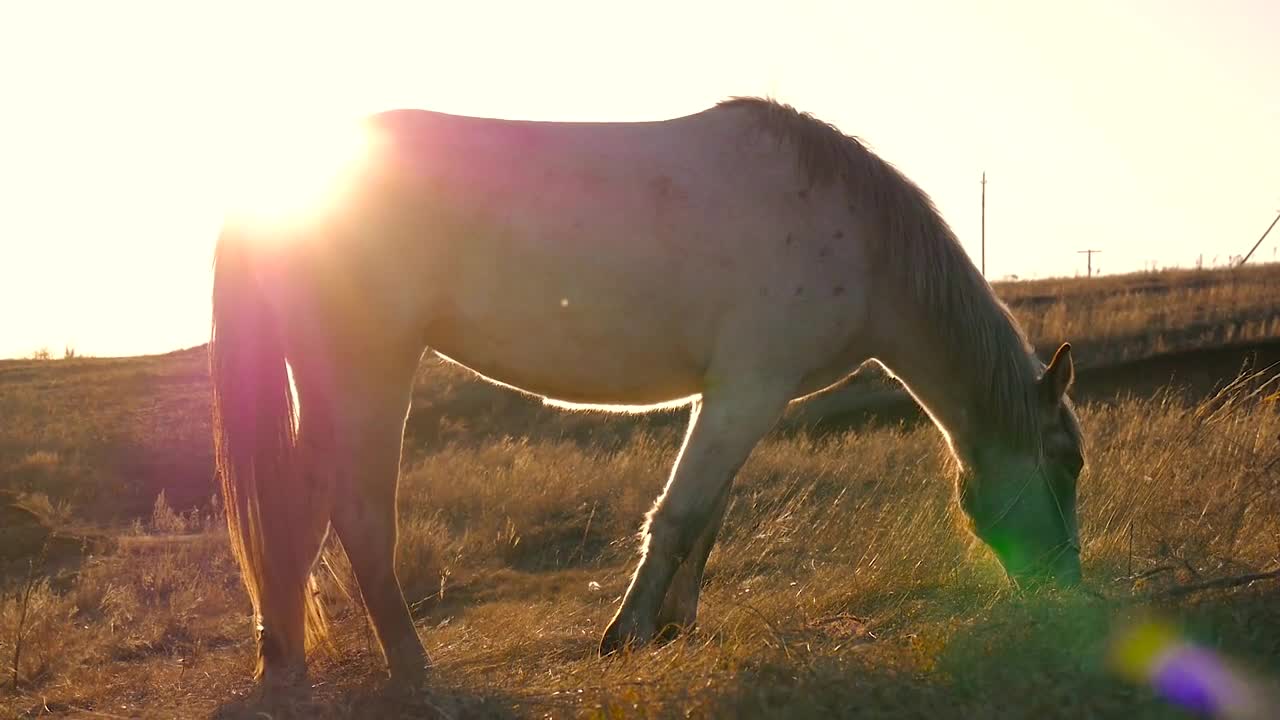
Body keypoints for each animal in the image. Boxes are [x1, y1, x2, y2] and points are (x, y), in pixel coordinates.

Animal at [212, 96, 1090, 681]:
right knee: (358, 516)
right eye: (1070, 463)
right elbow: (678, 517)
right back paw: (414, 671)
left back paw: (284, 660)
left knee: (301, 507)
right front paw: (628, 633)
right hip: (369, 366)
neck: (864, 245)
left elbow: (709, 519)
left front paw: (676, 626)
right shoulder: (747, 391)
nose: (1067, 592)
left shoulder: (734, 396)